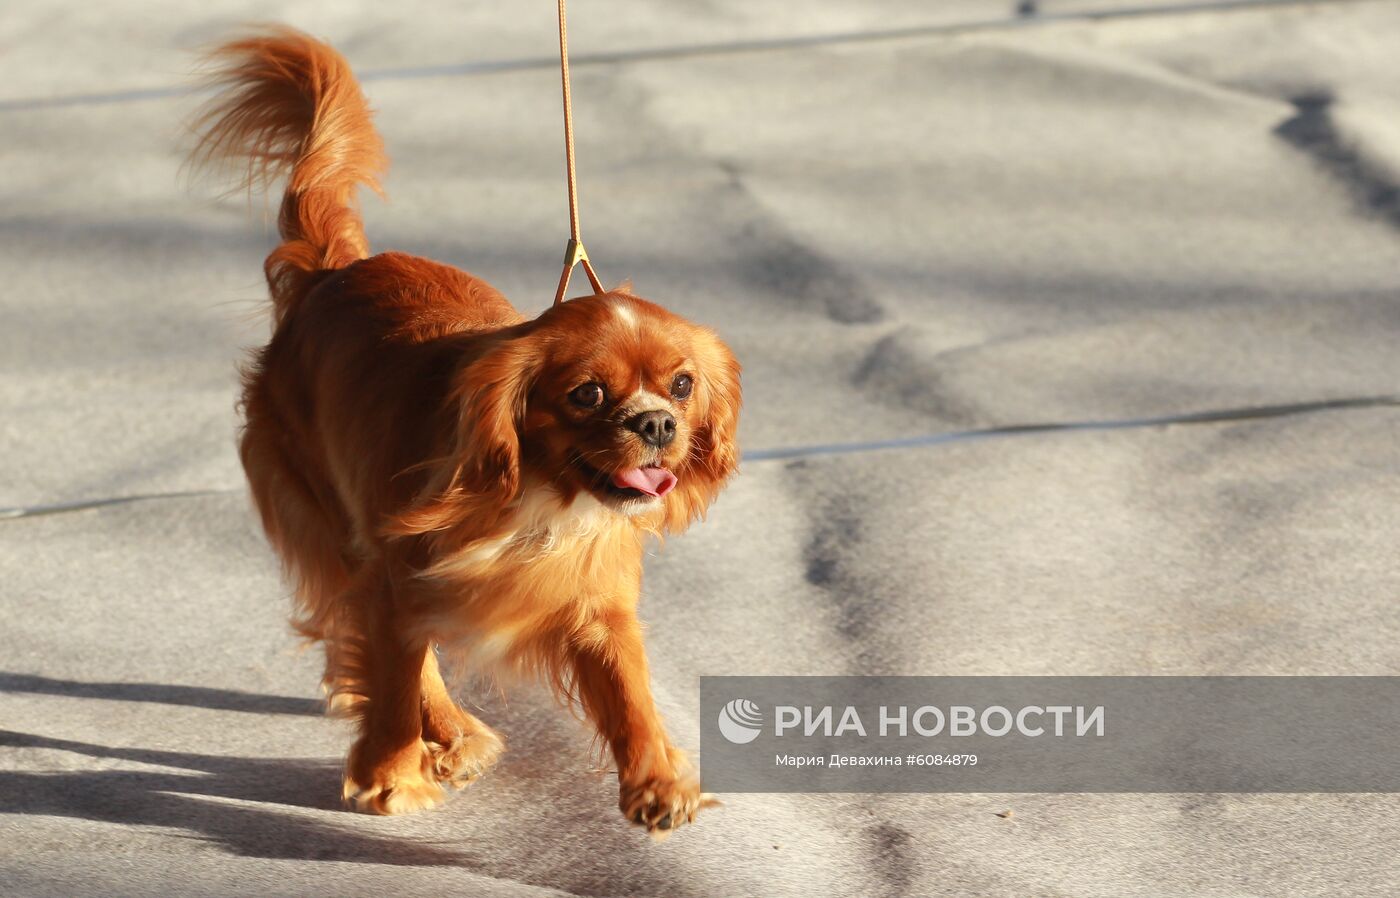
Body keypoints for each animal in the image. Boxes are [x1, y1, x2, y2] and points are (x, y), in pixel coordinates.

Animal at [193, 29, 750, 840]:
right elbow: (398, 677)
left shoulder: (596, 599)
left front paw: (655, 782)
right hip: (332, 522)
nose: (655, 423)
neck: (543, 503)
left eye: (681, 385)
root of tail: (332, 271)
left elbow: (628, 686)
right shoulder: (397, 580)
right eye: (587, 394)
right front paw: (390, 776)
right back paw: (454, 735)